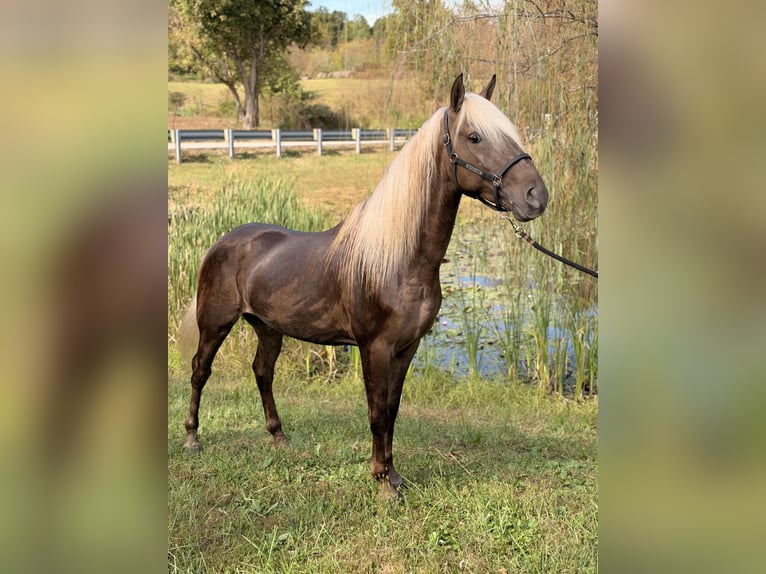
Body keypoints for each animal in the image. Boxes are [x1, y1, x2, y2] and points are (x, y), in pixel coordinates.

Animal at [181, 74, 549, 497]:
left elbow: (392, 409)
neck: (399, 260)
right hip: (215, 323)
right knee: (200, 371)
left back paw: (279, 436)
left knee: (262, 372)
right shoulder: (375, 347)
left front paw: (393, 474)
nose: (536, 196)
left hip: (268, 327)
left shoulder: (407, 347)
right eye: (474, 137)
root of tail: (223, 241)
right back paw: (192, 438)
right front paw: (383, 481)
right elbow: (376, 412)